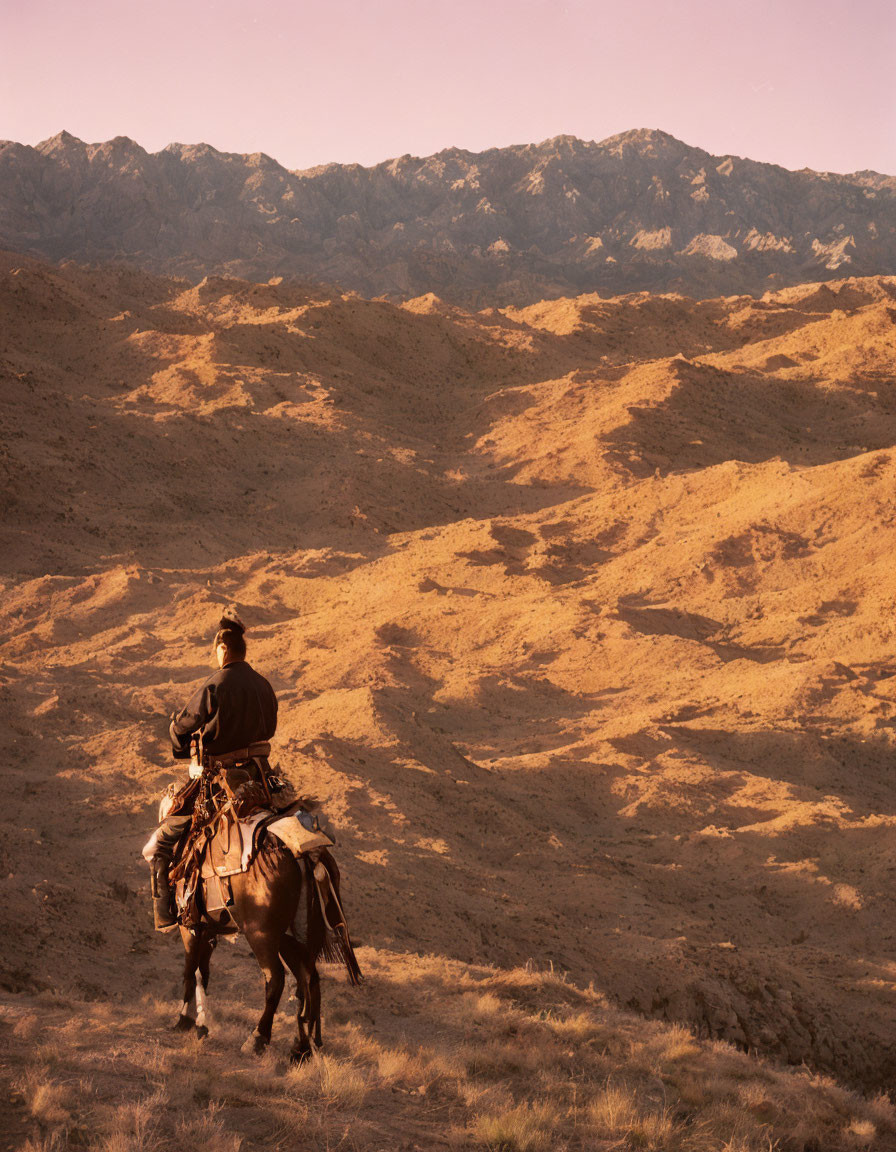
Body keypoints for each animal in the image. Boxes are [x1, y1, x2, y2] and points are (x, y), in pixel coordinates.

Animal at [171, 815, 359, 1064]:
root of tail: (305, 855)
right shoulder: (208, 930)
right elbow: (203, 972)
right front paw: (201, 1024)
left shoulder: (189, 927)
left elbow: (190, 972)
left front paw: (185, 1019)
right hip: (291, 938)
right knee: (308, 979)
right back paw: (302, 1047)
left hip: (262, 935)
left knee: (277, 978)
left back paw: (257, 1039)